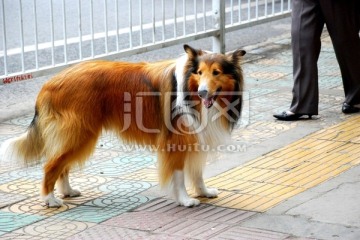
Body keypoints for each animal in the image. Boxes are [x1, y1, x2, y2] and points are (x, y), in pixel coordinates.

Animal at [0, 45, 246, 208]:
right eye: (199, 72)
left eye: (216, 72)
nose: (203, 92)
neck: (189, 89)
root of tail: (48, 83)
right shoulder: (176, 141)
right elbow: (178, 175)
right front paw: (186, 200)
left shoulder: (196, 138)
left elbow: (197, 172)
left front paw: (204, 192)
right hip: (79, 134)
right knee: (51, 165)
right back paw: (50, 199)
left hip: (78, 136)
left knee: (62, 165)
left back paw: (67, 192)